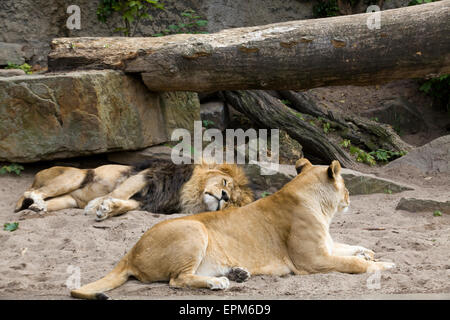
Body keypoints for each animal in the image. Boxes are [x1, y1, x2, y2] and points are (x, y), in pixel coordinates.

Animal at [14, 159, 253, 221]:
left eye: (232, 201)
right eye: (225, 183)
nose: (224, 197)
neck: (191, 195)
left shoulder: (149, 202)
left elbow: (125, 204)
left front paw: (107, 209)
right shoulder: (149, 174)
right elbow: (118, 192)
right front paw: (96, 205)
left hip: (68, 200)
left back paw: (38, 208)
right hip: (75, 176)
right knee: (28, 193)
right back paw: (35, 201)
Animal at [69, 158, 394, 300]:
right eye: (347, 187)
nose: (350, 198)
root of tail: (130, 252)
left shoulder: (325, 246)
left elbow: (349, 246)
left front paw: (369, 253)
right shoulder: (312, 260)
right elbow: (352, 264)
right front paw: (383, 265)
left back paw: (237, 273)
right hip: (194, 230)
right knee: (178, 280)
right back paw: (219, 283)